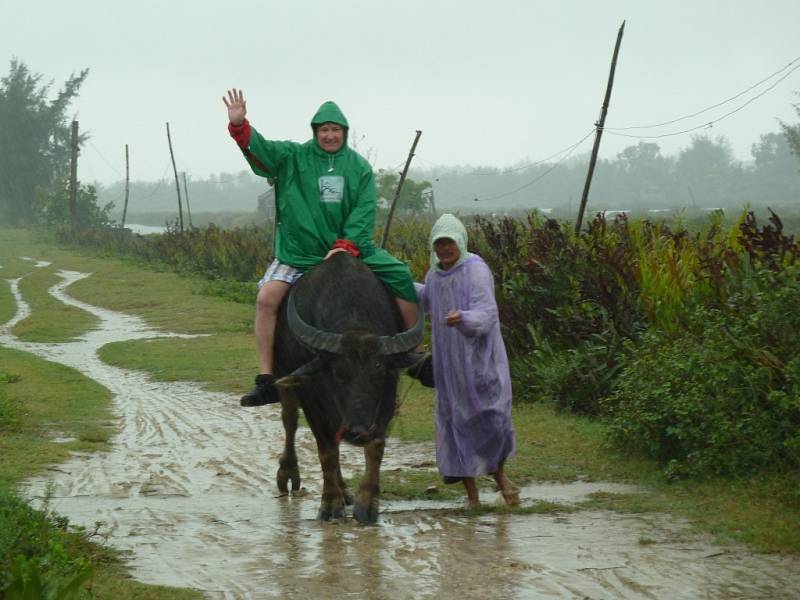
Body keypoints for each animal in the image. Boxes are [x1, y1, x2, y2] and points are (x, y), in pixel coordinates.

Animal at [272, 251, 422, 524]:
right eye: (338, 373)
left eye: (379, 372)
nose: (358, 432)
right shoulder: (312, 398)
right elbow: (327, 451)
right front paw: (330, 504)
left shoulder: (387, 396)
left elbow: (375, 448)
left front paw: (367, 504)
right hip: (283, 376)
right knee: (289, 419)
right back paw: (289, 473)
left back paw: (345, 491)